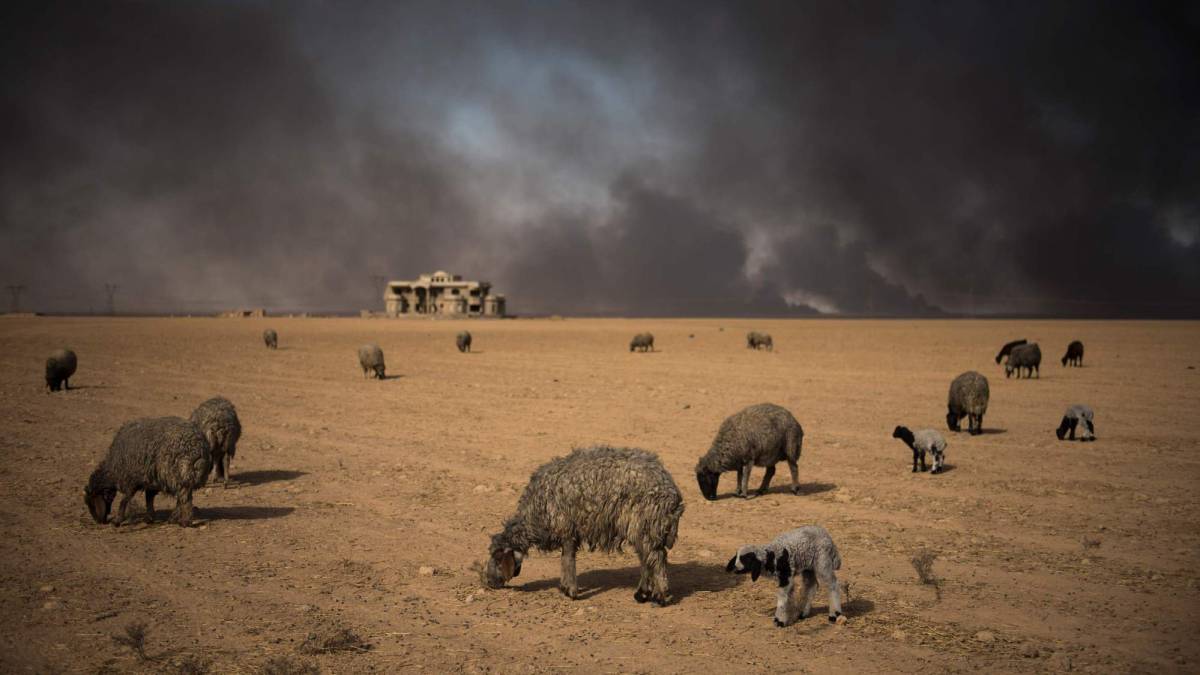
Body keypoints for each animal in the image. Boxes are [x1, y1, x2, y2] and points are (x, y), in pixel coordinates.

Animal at [482, 445, 685, 606]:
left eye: (498, 559)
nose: (489, 583)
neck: (535, 514)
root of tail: (672, 491)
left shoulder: (566, 529)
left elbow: (568, 559)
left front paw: (571, 591)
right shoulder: (568, 532)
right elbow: (565, 558)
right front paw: (565, 587)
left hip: (646, 524)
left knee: (656, 559)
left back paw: (661, 596)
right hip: (644, 528)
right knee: (647, 559)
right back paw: (643, 594)